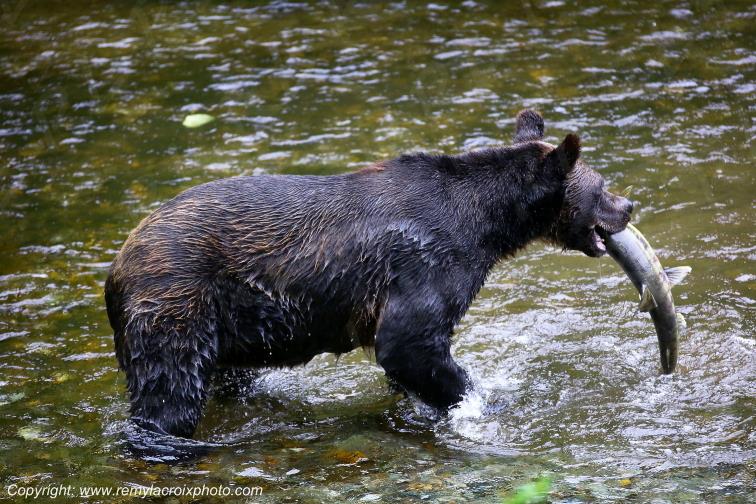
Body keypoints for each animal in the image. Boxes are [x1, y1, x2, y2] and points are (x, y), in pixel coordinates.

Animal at [105, 110, 634, 438]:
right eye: (602, 186)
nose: (628, 205)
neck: (485, 224)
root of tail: (116, 267)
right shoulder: (427, 263)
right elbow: (409, 343)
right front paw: (478, 399)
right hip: (178, 298)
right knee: (169, 391)